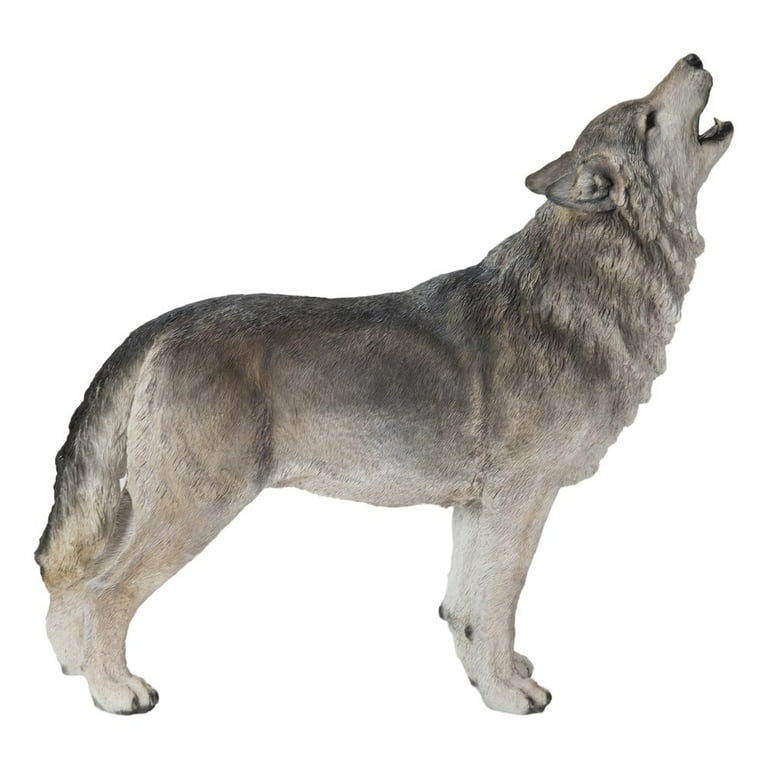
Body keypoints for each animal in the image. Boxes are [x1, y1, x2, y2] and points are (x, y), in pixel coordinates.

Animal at [35, 54, 732, 715]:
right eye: (647, 118)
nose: (694, 57)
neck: (588, 285)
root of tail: (161, 325)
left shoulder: (476, 506)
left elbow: (464, 609)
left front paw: (490, 681)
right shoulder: (520, 500)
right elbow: (498, 605)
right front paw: (509, 695)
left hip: (148, 506)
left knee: (70, 581)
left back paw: (76, 672)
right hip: (196, 508)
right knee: (103, 592)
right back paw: (115, 690)